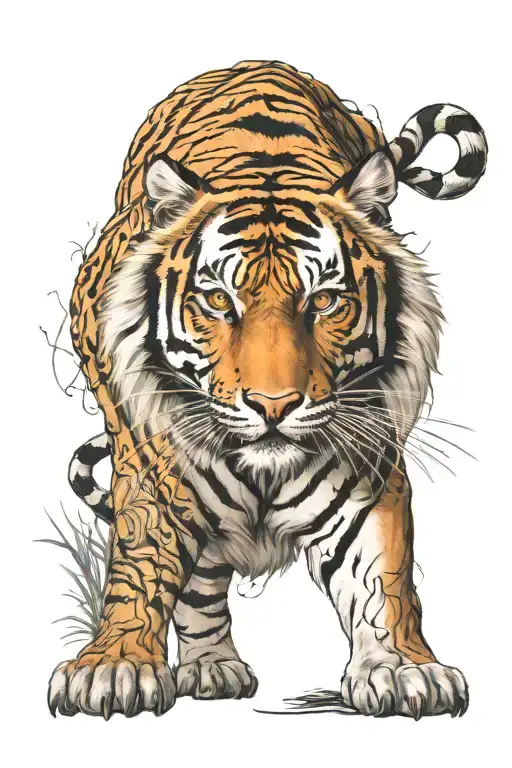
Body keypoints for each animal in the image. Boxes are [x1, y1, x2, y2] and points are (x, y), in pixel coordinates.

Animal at [49, 59, 487, 719]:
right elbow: (141, 568)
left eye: (325, 301)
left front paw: (403, 669)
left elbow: (383, 577)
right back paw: (213, 667)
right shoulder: (152, 467)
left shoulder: (368, 468)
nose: (273, 405)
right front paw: (115, 666)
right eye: (217, 301)